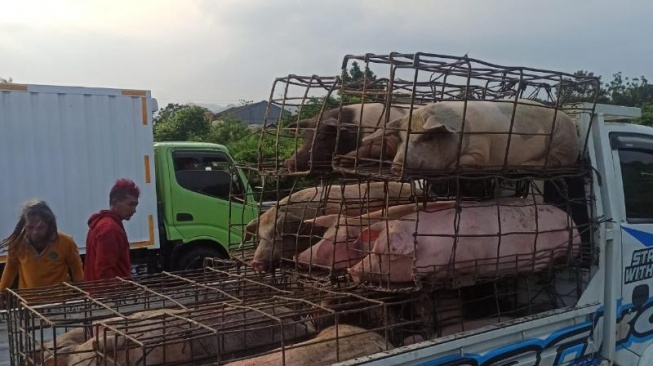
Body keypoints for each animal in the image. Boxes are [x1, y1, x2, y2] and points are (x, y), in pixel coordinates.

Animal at [362, 99, 580, 175]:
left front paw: (451, 166)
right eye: (400, 139)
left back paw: (524, 165)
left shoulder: (480, 152)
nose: (396, 166)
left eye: (427, 138)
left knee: (555, 162)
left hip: (562, 144)